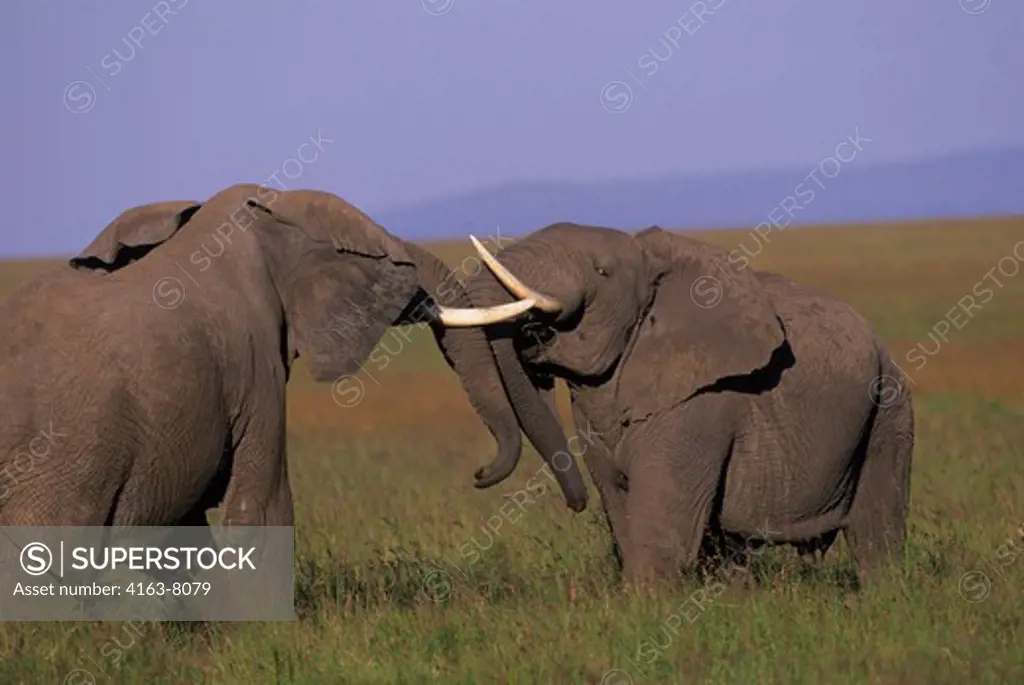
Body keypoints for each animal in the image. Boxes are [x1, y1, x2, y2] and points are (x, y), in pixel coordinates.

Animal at [464, 222, 913, 585]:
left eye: (602, 272)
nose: (479, 474)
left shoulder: (702, 400)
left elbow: (663, 532)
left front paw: (644, 611)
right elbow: (620, 509)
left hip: (888, 408)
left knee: (876, 530)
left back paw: (885, 598)